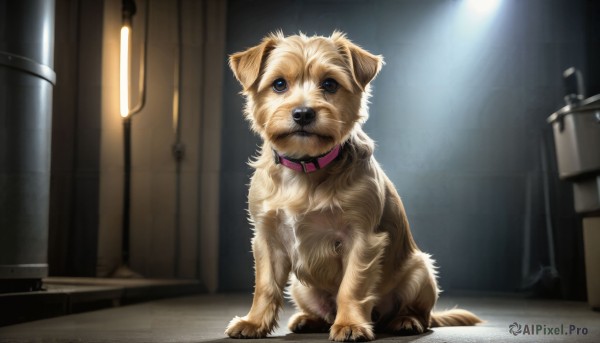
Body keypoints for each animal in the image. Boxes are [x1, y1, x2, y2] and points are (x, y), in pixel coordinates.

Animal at [225, 31, 482, 342]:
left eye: (329, 84)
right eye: (279, 84)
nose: (303, 113)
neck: (306, 166)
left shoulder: (361, 238)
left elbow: (352, 285)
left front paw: (350, 324)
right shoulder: (267, 238)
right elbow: (264, 285)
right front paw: (253, 322)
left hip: (421, 270)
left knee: (420, 314)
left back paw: (405, 320)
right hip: (300, 287)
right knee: (322, 312)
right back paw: (309, 319)